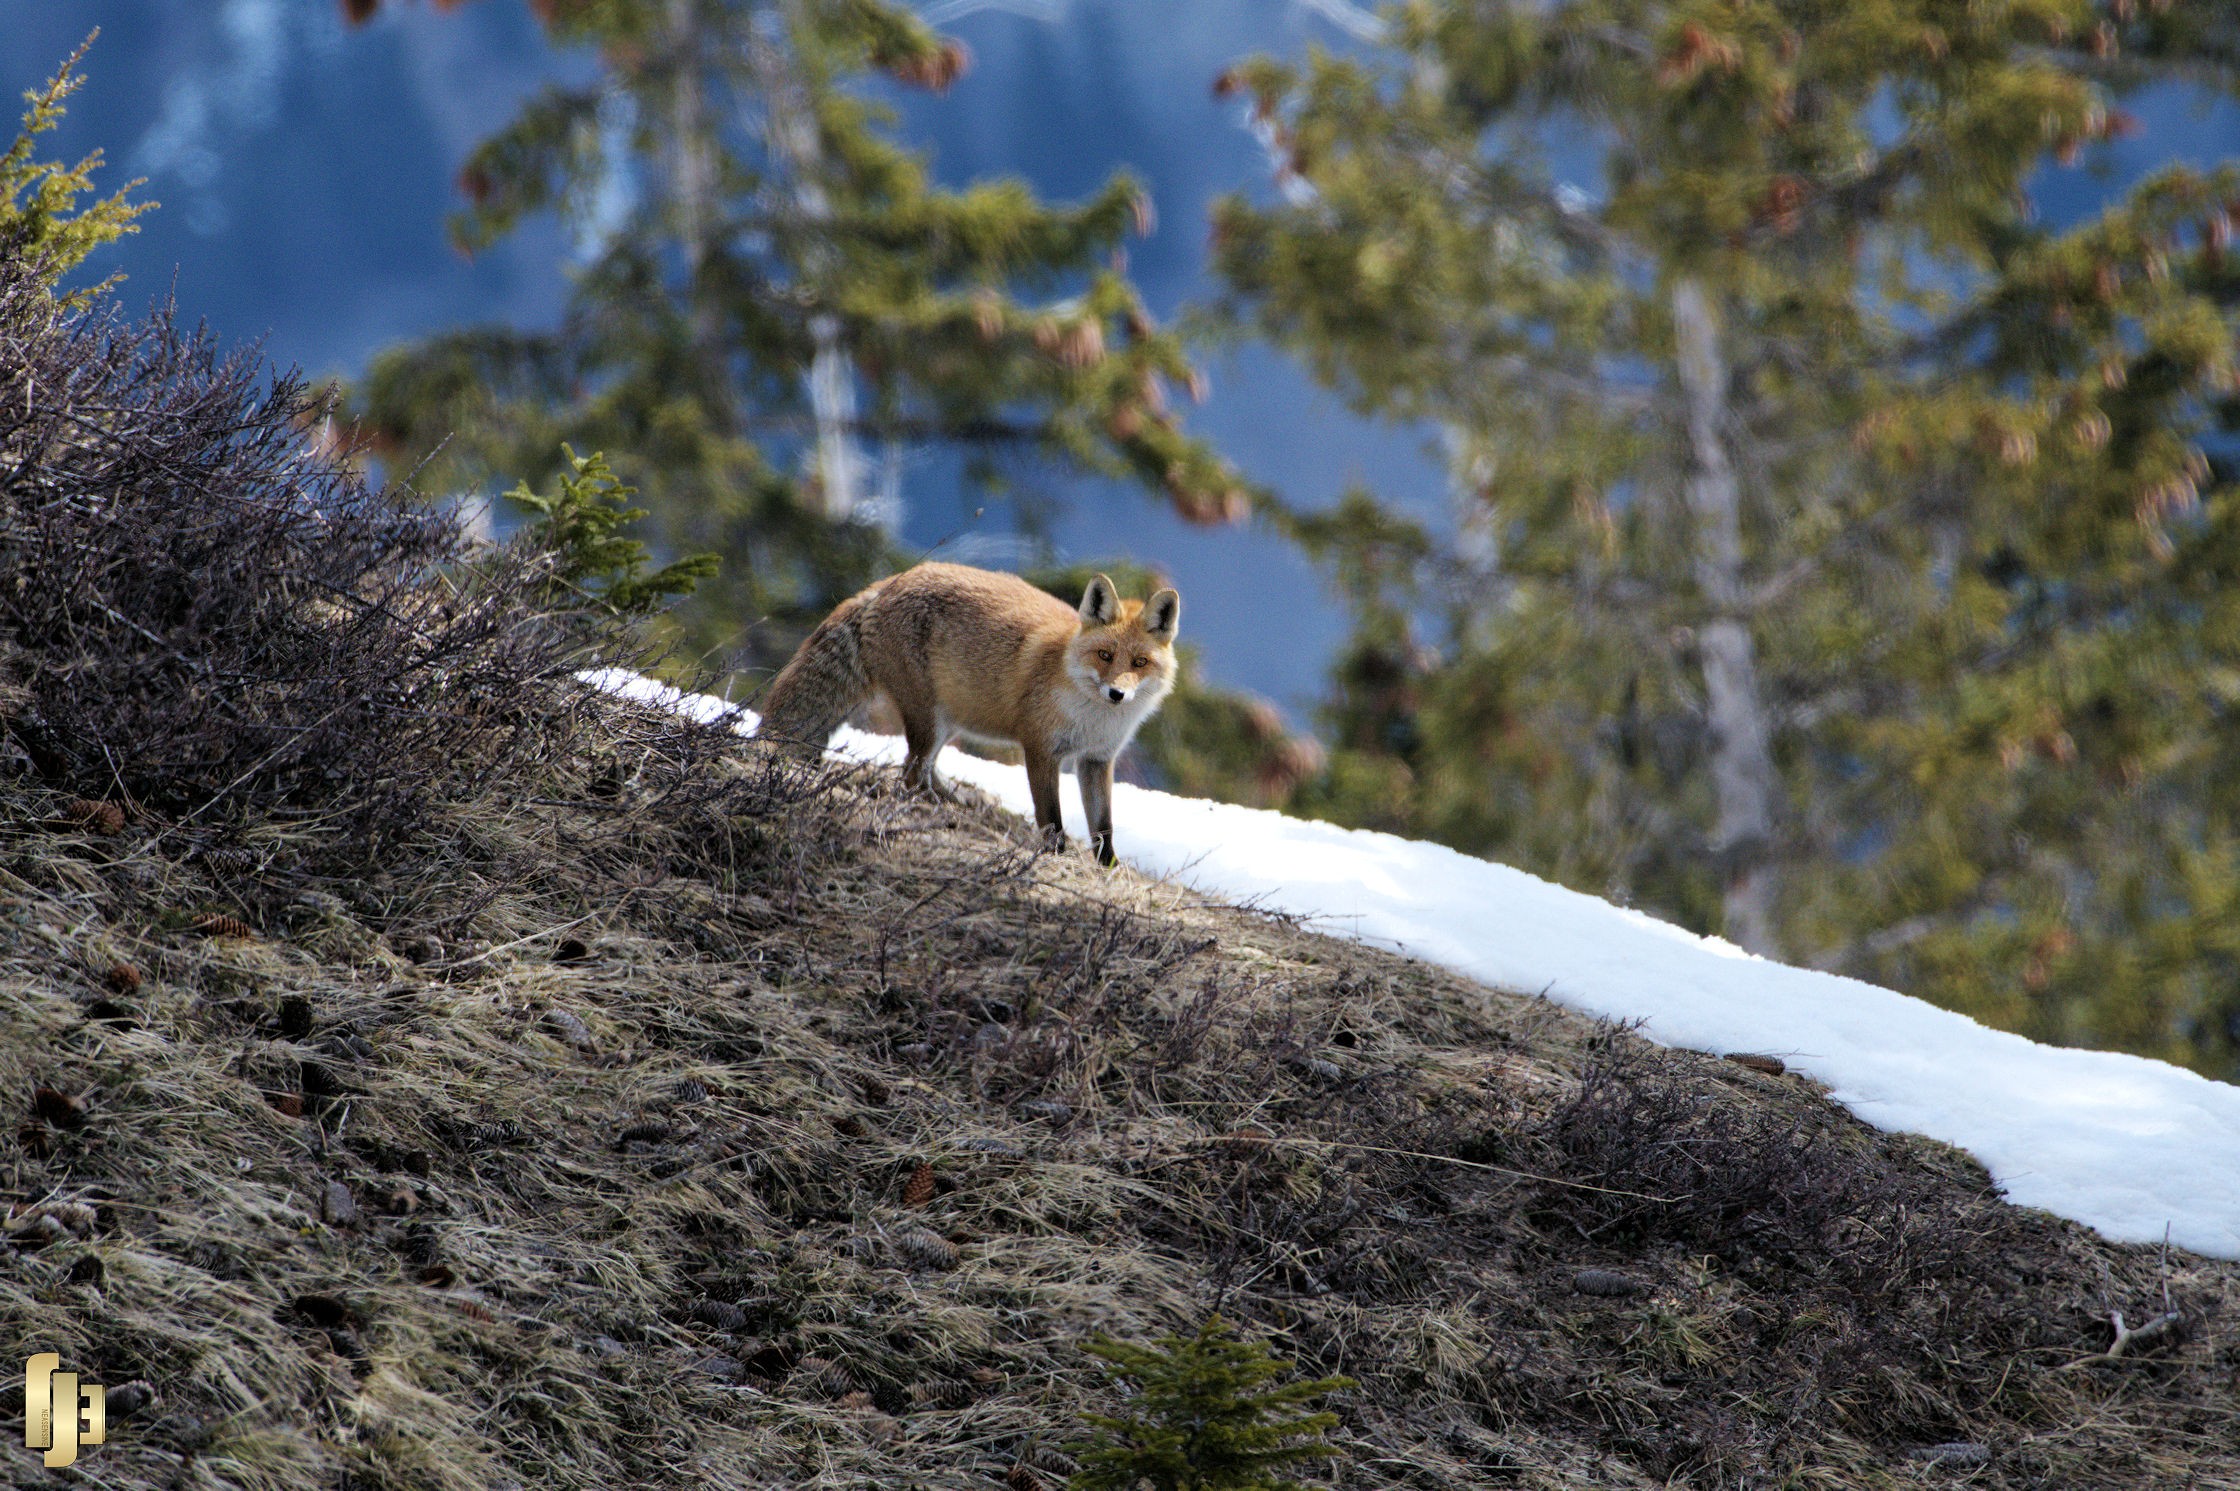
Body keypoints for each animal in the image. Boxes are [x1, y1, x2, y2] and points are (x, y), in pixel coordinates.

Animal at [757, 557, 1182, 859]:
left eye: (1139, 663)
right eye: (1105, 655)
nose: (1116, 694)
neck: (1094, 718)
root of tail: (889, 582)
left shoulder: (1096, 760)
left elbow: (1104, 828)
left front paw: (1108, 868)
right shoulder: (1040, 749)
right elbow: (1051, 819)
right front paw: (1053, 856)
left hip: (947, 721)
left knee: (923, 770)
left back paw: (954, 802)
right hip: (928, 718)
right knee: (910, 773)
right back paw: (935, 811)